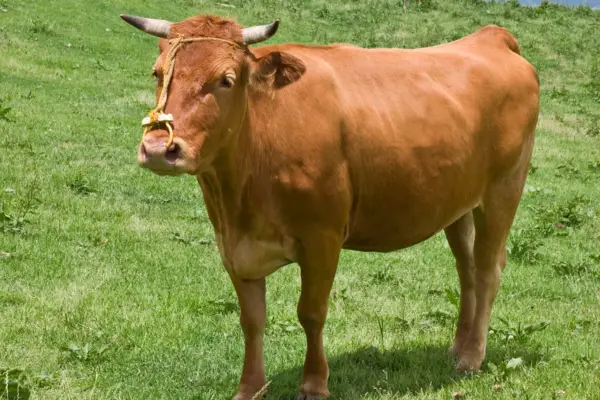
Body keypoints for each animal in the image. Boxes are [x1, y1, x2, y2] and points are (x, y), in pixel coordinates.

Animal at [120, 14, 540, 400]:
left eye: (225, 79)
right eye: (158, 73)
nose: (158, 149)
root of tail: (490, 37)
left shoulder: (322, 238)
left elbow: (311, 312)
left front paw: (314, 385)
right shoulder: (233, 244)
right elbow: (252, 319)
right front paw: (250, 387)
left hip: (503, 190)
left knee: (487, 270)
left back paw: (471, 358)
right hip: (458, 203)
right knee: (466, 269)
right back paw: (458, 346)